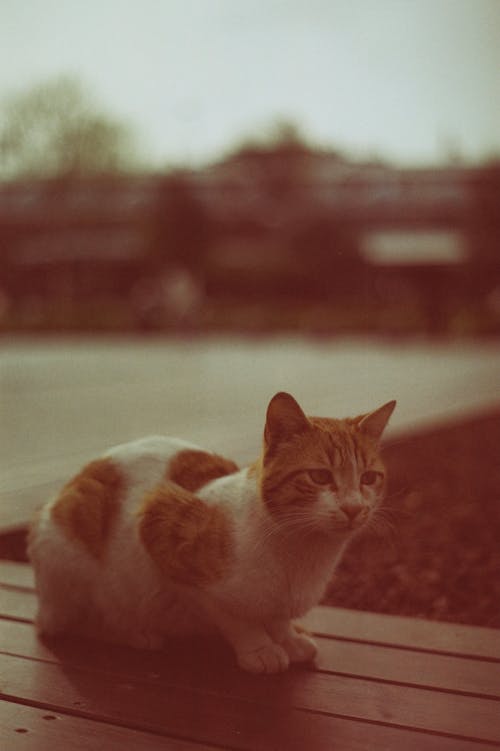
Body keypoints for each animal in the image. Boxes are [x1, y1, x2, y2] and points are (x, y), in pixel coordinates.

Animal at [29, 394, 396, 676]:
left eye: (368, 478)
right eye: (320, 477)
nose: (353, 508)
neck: (302, 555)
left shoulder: (279, 600)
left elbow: (277, 617)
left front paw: (288, 638)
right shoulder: (167, 545)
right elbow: (234, 617)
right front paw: (260, 648)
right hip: (71, 560)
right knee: (70, 623)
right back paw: (135, 632)